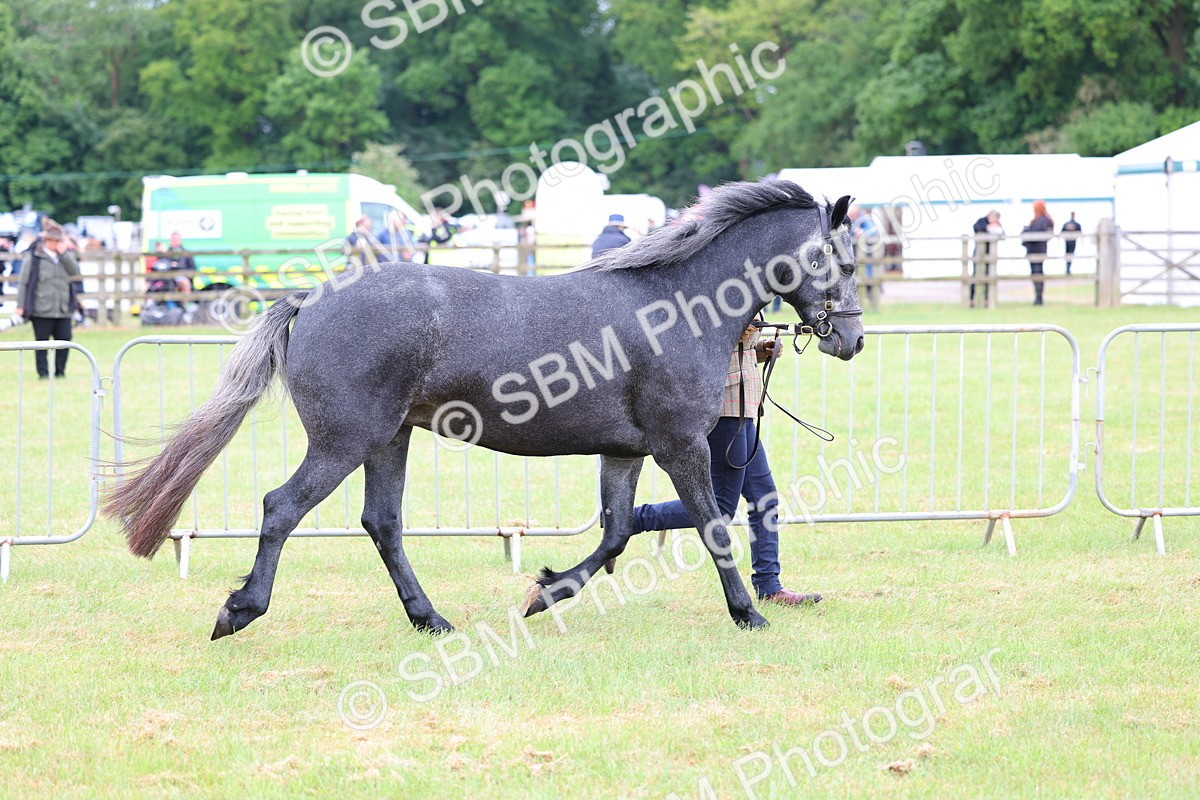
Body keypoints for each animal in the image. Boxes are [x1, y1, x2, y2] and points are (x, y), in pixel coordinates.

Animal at [103, 179, 864, 639]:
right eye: (847, 260)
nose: (853, 339)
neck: (674, 304)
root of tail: (311, 299)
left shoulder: (626, 451)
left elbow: (618, 531)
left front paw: (545, 592)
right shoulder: (681, 446)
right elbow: (712, 526)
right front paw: (747, 615)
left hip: (388, 441)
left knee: (383, 523)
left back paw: (430, 619)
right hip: (343, 442)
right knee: (281, 508)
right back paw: (239, 611)